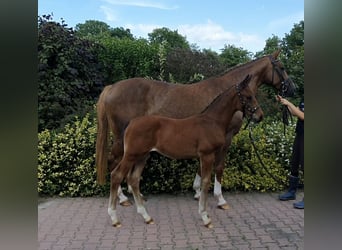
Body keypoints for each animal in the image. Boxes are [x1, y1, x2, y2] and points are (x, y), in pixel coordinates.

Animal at [95, 49, 294, 209]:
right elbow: (219, 166)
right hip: (120, 137)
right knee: (114, 161)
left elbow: (201, 166)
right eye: (282, 67)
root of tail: (111, 88)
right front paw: (220, 198)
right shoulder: (226, 138)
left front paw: (198, 191)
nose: (292, 88)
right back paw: (122, 198)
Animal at [108, 74, 264, 229]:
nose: (260, 116)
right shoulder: (207, 155)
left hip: (142, 156)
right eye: (249, 96)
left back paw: (146, 216)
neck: (212, 121)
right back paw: (115, 218)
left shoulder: (206, 156)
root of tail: (131, 123)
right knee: (116, 175)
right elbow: (205, 182)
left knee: (133, 179)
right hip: (131, 155)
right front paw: (205, 217)